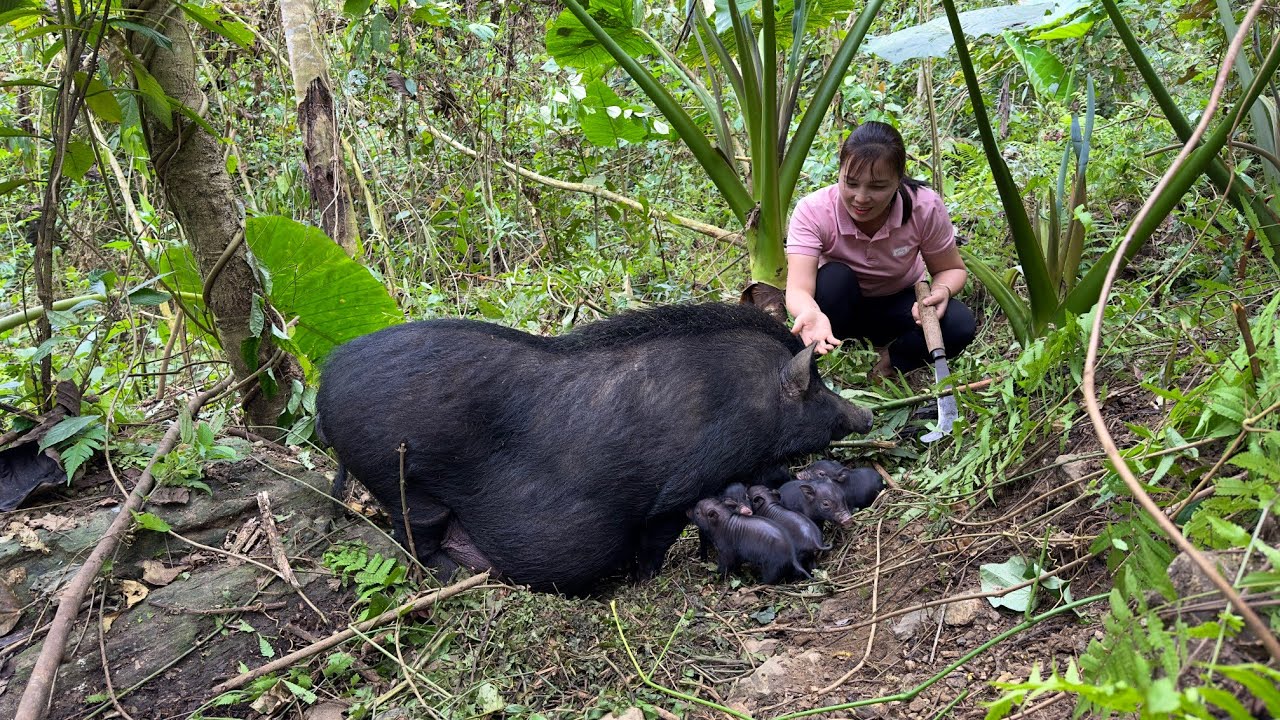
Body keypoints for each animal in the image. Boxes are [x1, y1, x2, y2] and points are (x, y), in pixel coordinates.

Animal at [316, 302, 872, 594]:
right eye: (815, 389)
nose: (864, 415)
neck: (745, 399)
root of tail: (324, 388)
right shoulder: (677, 489)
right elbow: (656, 539)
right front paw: (643, 582)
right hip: (398, 477)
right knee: (417, 534)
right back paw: (453, 574)